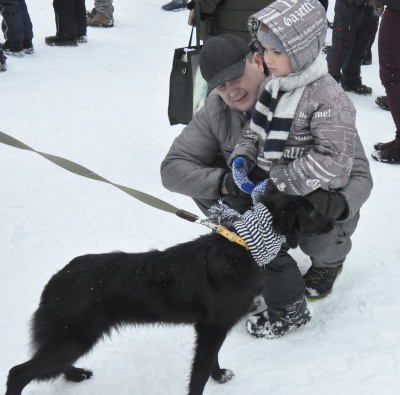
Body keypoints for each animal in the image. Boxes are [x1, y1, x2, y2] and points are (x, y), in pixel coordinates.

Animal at [4, 184, 332, 395]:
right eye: (312, 213)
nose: (335, 220)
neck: (244, 247)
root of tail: (56, 281)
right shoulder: (212, 328)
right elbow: (198, 374)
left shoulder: (210, 327)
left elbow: (211, 361)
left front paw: (219, 375)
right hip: (73, 337)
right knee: (19, 373)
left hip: (73, 338)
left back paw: (76, 374)